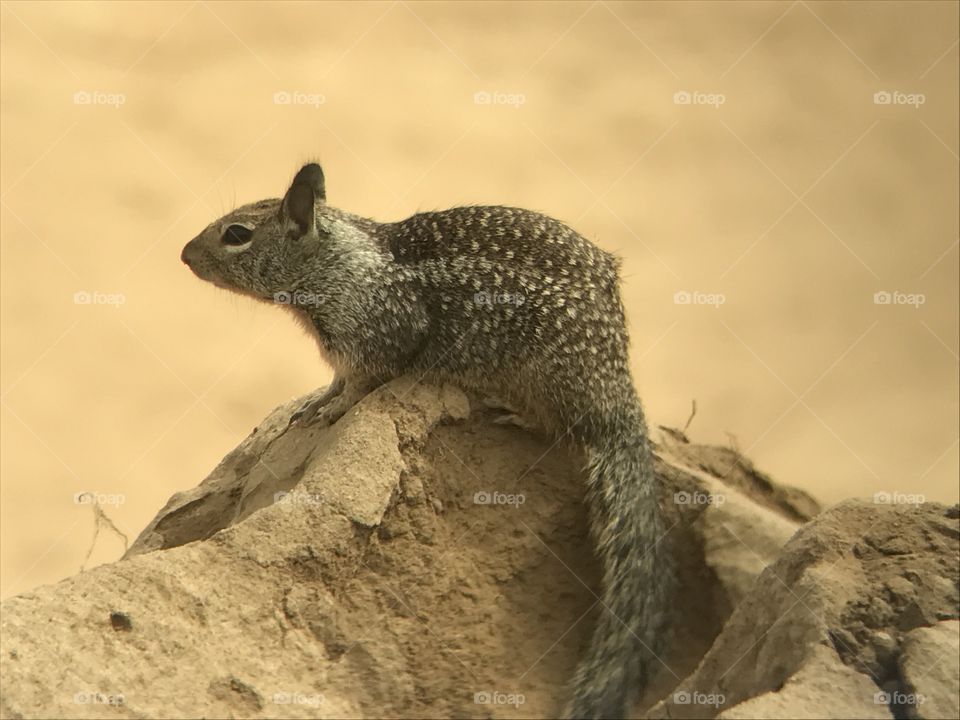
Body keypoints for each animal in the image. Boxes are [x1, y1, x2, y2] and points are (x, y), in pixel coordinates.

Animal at [181, 163, 671, 719]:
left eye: (236, 234)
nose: (184, 254)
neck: (337, 263)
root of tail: (618, 396)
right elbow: (338, 380)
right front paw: (316, 402)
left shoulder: (375, 338)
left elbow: (359, 385)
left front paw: (332, 409)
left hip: (547, 376)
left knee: (562, 428)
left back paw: (512, 411)